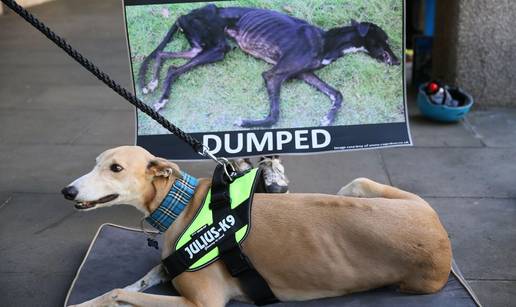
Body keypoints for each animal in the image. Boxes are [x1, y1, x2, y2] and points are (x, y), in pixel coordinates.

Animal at [139, 4, 402, 127]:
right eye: (386, 41)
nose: (399, 61)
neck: (327, 41)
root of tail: (184, 15)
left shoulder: (305, 74)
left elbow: (337, 93)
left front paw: (328, 118)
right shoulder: (273, 75)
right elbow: (275, 115)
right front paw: (245, 122)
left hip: (201, 48)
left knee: (163, 56)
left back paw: (151, 83)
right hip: (217, 49)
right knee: (174, 69)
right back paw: (161, 99)